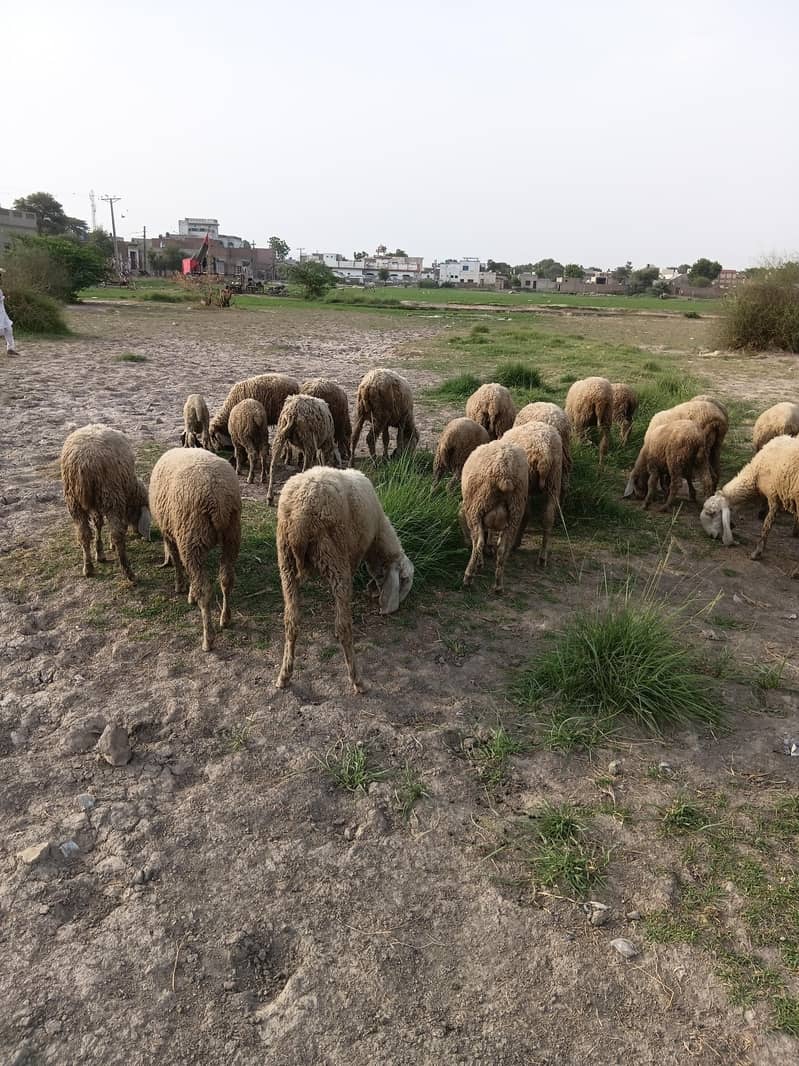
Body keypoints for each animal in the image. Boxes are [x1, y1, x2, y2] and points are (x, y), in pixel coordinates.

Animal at [60, 424, 150, 582]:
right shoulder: (119, 499)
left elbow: (98, 523)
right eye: (138, 512)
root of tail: (84, 462)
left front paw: (100, 553)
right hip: (111, 495)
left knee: (83, 535)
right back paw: (128, 572)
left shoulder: (96, 504)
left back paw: (88, 568)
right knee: (117, 534)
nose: (137, 532)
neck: (131, 490)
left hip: (74, 501)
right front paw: (110, 546)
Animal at [149, 448, 241, 652]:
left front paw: (180, 586)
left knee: (205, 591)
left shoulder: (171, 534)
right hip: (230, 536)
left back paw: (208, 639)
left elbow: (177, 561)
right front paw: (189, 590)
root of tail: (218, 500)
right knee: (226, 580)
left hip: (191, 537)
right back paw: (225, 618)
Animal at [275, 467, 414, 694]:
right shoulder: (354, 554)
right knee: (343, 626)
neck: (378, 536)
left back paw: (284, 676)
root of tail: (299, 520)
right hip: (335, 557)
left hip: (286, 563)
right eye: (405, 580)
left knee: (291, 621)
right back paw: (357, 680)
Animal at [459, 439, 529, 593]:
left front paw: (479, 563)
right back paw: (498, 585)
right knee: (503, 549)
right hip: (516, 511)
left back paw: (468, 577)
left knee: (478, 542)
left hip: (477, 506)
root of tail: (505, 474)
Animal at [501, 423, 563, 565]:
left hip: (527, 482)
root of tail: (544, 452)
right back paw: (543, 555)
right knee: (548, 518)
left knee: (524, 514)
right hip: (554, 481)